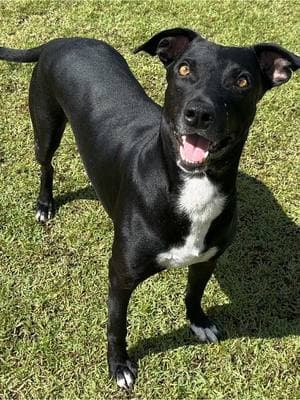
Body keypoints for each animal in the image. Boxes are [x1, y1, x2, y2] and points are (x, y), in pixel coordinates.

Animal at [0, 27, 300, 388]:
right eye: (184, 69)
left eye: (242, 81)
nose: (199, 114)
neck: (192, 186)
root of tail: (63, 41)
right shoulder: (120, 276)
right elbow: (116, 326)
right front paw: (119, 366)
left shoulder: (207, 259)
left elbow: (194, 294)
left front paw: (199, 322)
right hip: (46, 126)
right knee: (47, 165)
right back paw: (45, 204)